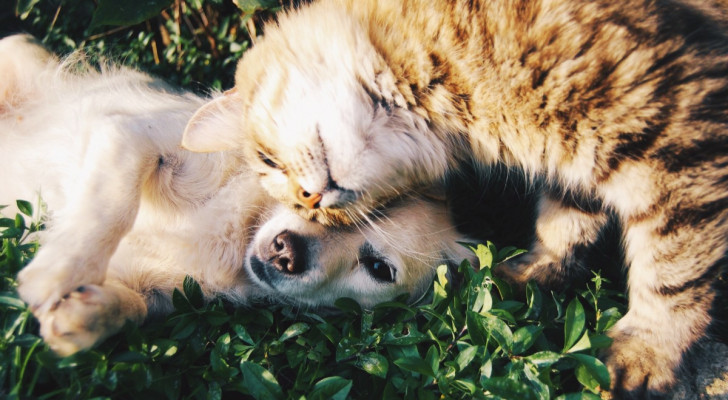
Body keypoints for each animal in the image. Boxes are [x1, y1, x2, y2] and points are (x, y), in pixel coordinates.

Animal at [0, 33, 474, 354]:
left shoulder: (159, 293)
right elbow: (110, 206)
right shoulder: (132, 135)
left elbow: (132, 308)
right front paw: (58, 271)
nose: (286, 252)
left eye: (379, 268)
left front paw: (84, 315)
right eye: (311, 196)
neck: (239, 233)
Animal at [182, 0, 728, 396]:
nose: (310, 200)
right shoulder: (579, 161)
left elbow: (673, 272)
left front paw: (646, 352)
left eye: (267, 160)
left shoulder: (675, 138)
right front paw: (532, 273)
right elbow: (565, 223)